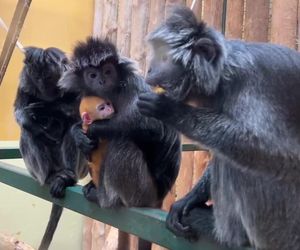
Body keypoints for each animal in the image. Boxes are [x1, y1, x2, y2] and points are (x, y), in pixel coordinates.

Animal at [14, 47, 88, 250]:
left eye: (48, 77)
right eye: (37, 77)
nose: (43, 86)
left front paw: (51, 108)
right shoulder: (24, 83)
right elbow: (19, 113)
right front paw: (36, 122)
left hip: (81, 168)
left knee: (74, 126)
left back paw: (67, 177)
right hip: (37, 170)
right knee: (28, 133)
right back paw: (49, 176)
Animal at [58, 37, 180, 250]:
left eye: (108, 71)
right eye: (92, 74)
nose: (101, 80)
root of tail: (160, 198)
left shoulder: (133, 87)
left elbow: (155, 127)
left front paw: (95, 129)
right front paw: (78, 133)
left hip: (144, 192)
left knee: (122, 143)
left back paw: (104, 198)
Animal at [138, 5, 300, 250]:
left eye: (164, 57)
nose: (149, 70)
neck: (226, 74)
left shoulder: (251, 82)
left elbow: (277, 152)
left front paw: (169, 110)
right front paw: (190, 199)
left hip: (283, 225)